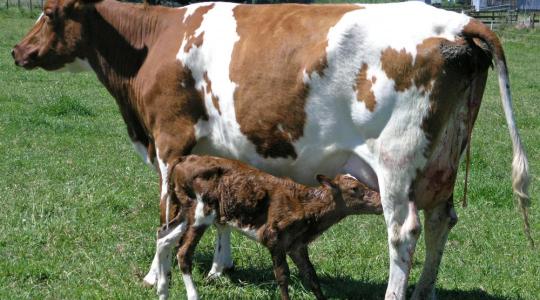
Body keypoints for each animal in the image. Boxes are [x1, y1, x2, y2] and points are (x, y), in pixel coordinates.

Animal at [154, 156, 382, 300]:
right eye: (354, 188)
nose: (381, 202)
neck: (307, 208)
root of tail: (184, 159)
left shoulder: (297, 245)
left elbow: (311, 276)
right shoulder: (274, 238)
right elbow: (282, 276)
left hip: (186, 208)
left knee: (163, 235)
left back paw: (162, 290)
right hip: (202, 211)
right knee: (183, 253)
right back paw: (192, 295)